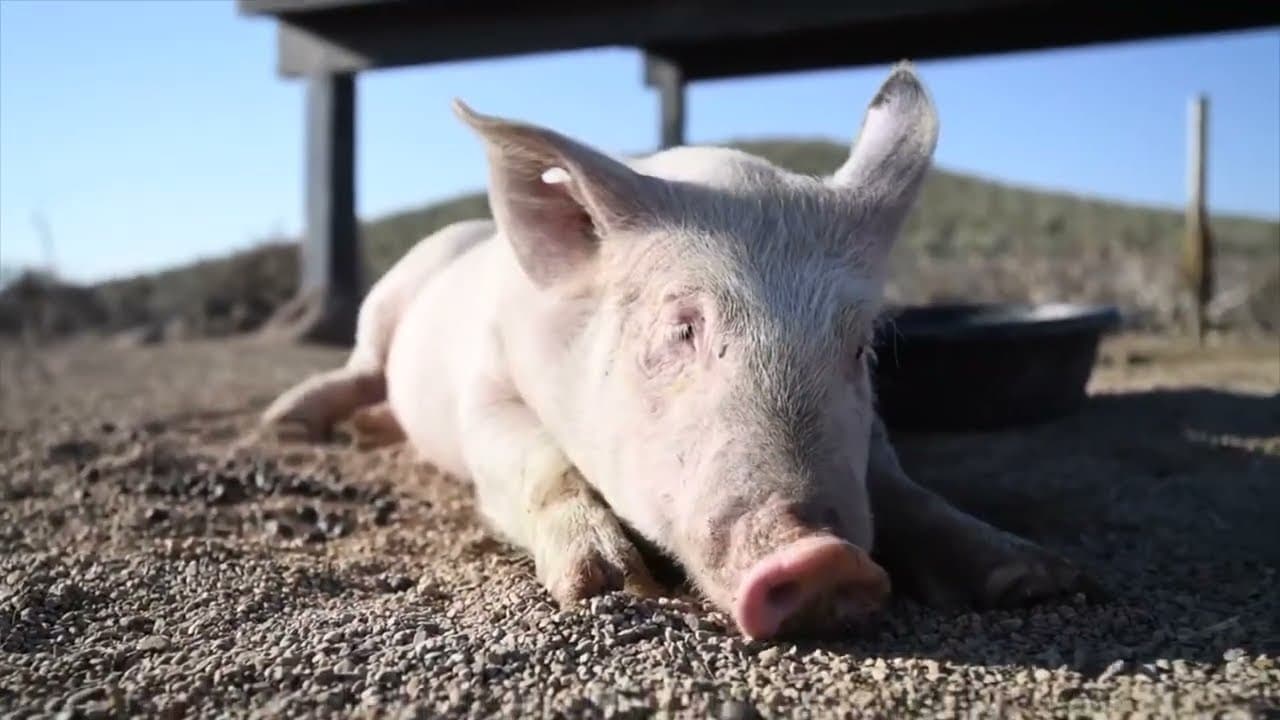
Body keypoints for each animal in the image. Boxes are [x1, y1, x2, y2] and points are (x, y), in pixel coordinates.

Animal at [261, 62, 1099, 641]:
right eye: (681, 328)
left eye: (859, 346)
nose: (822, 558)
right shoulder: (486, 386)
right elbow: (538, 460)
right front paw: (609, 584)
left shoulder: (875, 432)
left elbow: (899, 487)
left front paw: (1037, 578)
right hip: (384, 304)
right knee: (358, 366)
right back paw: (288, 426)